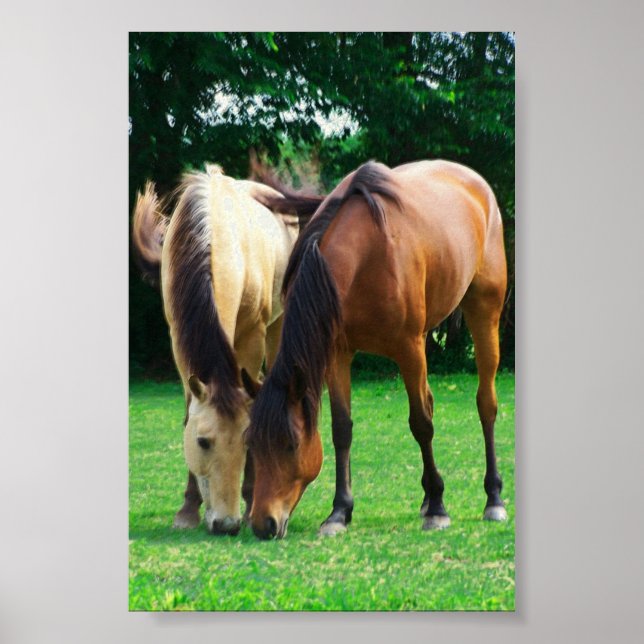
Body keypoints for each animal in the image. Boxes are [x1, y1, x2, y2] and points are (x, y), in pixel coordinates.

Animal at [132, 163, 323, 535]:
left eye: (247, 443)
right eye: (203, 441)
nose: (227, 524)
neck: (216, 236)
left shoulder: (252, 334)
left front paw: (249, 502)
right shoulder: (178, 341)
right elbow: (188, 411)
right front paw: (188, 509)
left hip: (276, 327)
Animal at [243, 159, 508, 539]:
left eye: (290, 444)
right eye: (251, 445)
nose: (264, 524)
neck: (365, 257)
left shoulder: (409, 349)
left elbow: (421, 423)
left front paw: (438, 509)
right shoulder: (337, 354)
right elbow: (342, 429)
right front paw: (339, 512)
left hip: (484, 313)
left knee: (486, 404)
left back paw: (493, 498)